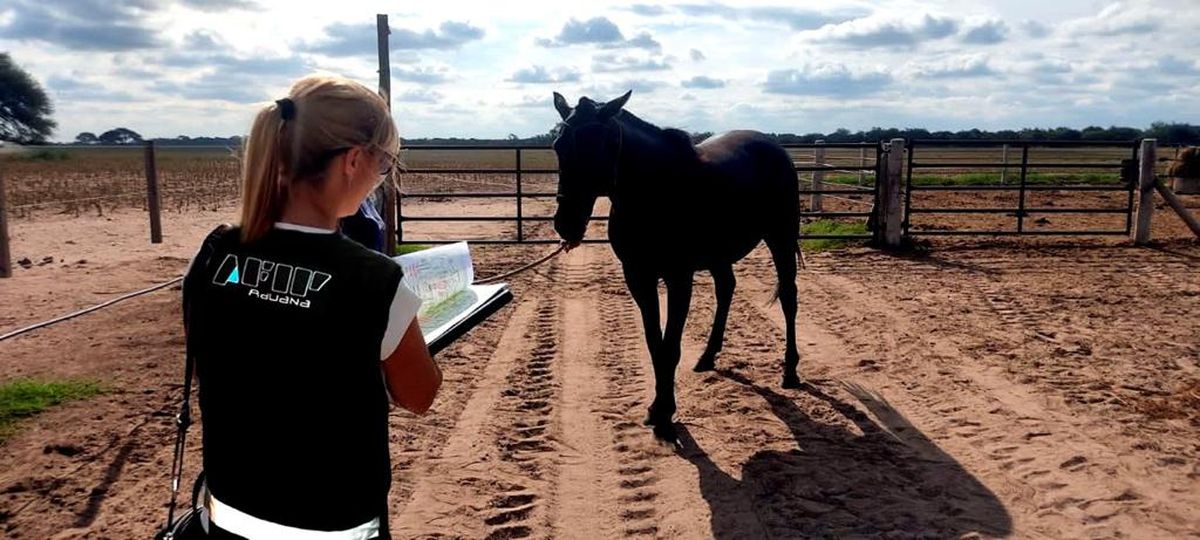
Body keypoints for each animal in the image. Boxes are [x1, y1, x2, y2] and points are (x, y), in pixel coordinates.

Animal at [550, 90, 802, 444]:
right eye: (559, 145)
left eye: (603, 144)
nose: (567, 224)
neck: (656, 193)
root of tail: (775, 148)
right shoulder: (638, 277)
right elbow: (655, 345)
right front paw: (656, 408)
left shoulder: (678, 279)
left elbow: (670, 348)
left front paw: (666, 416)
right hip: (721, 254)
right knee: (726, 290)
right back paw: (708, 357)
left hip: (780, 238)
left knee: (789, 297)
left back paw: (790, 370)